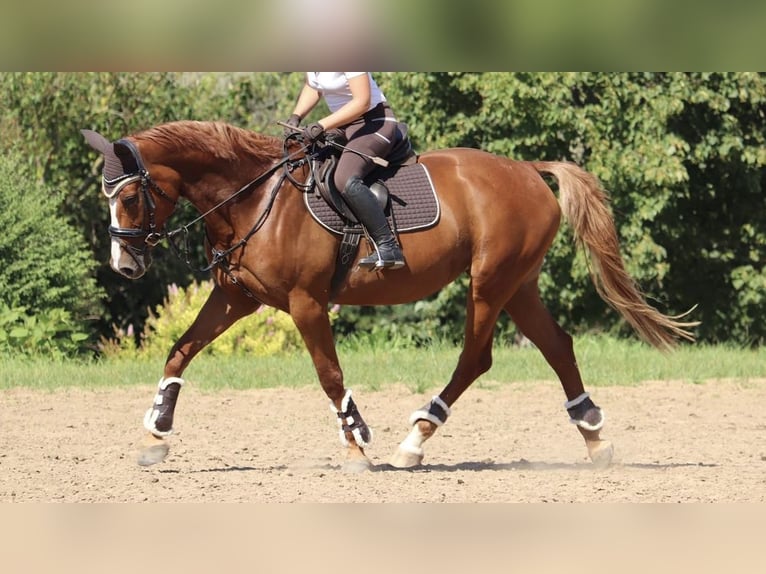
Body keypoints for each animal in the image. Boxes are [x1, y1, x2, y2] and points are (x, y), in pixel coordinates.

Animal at [82, 120, 697, 471]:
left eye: (130, 198)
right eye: (107, 196)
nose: (125, 264)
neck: (253, 197)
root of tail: (527, 169)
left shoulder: (306, 303)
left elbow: (329, 375)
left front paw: (356, 444)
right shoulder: (236, 299)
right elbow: (180, 351)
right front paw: (157, 434)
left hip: (490, 282)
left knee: (476, 357)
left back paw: (415, 440)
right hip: (518, 284)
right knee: (557, 347)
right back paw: (594, 439)